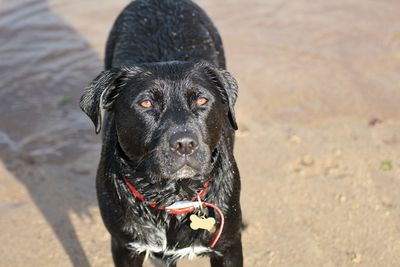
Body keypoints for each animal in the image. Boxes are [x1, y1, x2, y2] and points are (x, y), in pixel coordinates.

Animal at [79, 1, 242, 266]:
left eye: (202, 100)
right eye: (145, 103)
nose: (185, 144)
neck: (172, 197)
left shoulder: (228, 247)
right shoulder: (125, 246)